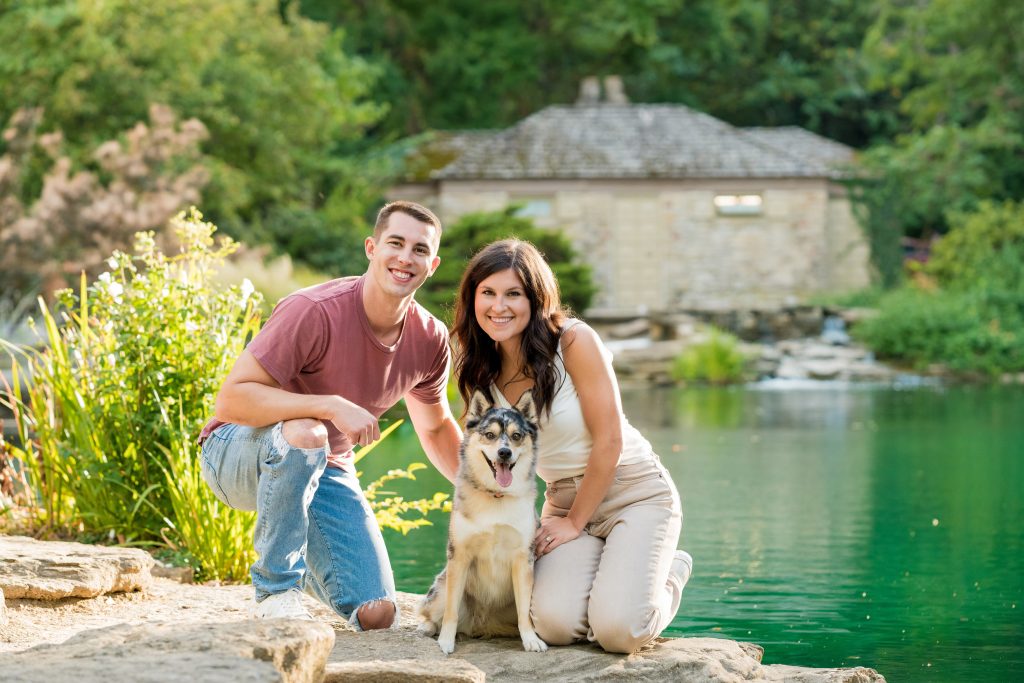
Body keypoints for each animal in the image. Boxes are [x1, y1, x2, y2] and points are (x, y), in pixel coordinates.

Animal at [417, 387, 548, 655]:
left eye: (516, 436)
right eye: (490, 435)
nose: (504, 452)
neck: (496, 496)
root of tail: (482, 625)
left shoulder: (523, 559)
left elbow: (525, 613)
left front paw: (531, 639)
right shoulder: (459, 555)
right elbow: (451, 611)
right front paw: (446, 641)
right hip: (442, 584)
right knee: (432, 610)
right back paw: (427, 627)